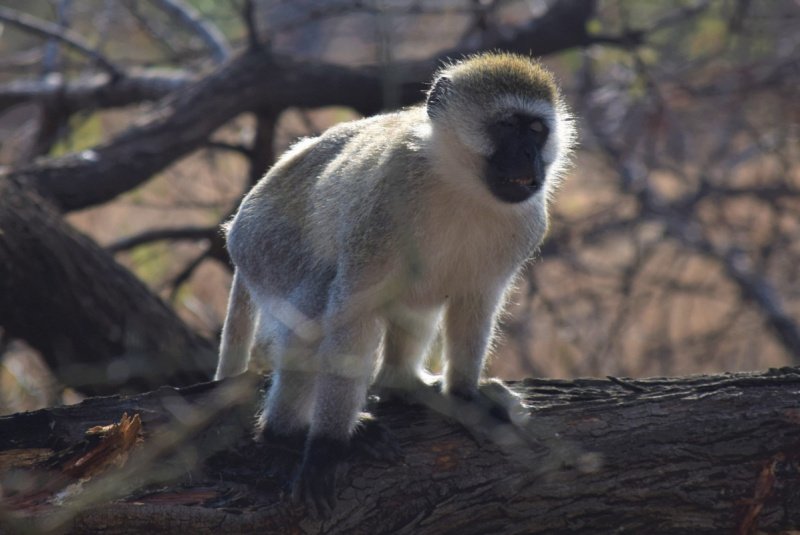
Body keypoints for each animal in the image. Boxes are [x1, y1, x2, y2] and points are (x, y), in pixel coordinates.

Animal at [215, 52, 575, 516]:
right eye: (506, 127)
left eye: (536, 130)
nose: (531, 155)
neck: (458, 183)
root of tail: (238, 224)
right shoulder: (383, 205)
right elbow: (352, 309)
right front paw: (326, 447)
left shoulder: (526, 222)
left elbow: (476, 300)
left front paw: (463, 395)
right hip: (264, 247)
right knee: (314, 307)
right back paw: (286, 435)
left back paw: (401, 382)